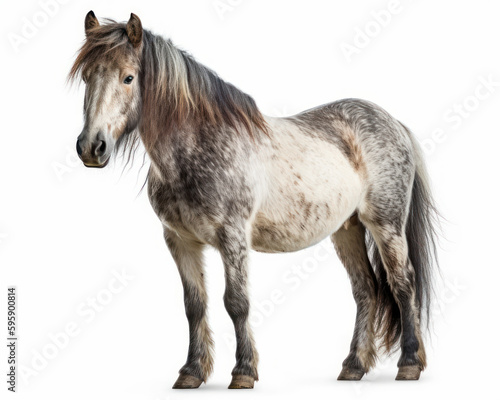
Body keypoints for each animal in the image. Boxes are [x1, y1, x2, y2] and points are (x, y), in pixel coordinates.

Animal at [69, 11, 438, 388]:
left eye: (128, 77)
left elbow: (237, 302)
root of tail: (393, 122)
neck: (200, 145)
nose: (91, 147)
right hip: (346, 229)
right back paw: (353, 366)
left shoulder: (233, 237)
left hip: (386, 224)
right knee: (366, 289)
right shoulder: (179, 239)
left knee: (402, 284)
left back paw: (409, 363)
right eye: (86, 76)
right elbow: (194, 305)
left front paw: (243, 371)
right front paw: (191, 372)